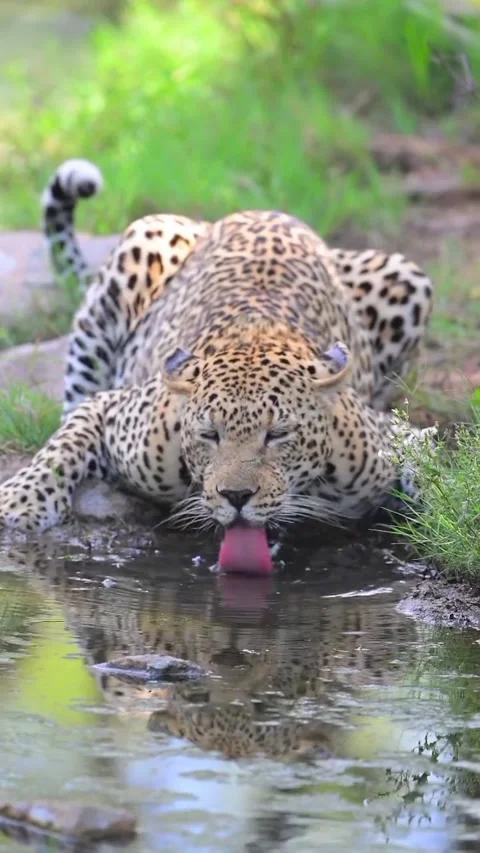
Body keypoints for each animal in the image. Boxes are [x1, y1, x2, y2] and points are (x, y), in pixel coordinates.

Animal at [0, 158, 434, 542]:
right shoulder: (110, 408)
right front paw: (21, 502)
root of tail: (252, 211)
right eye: (210, 435)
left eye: (277, 435)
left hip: (409, 276)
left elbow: (422, 453)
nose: (237, 496)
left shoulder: (377, 435)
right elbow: (61, 449)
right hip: (140, 247)